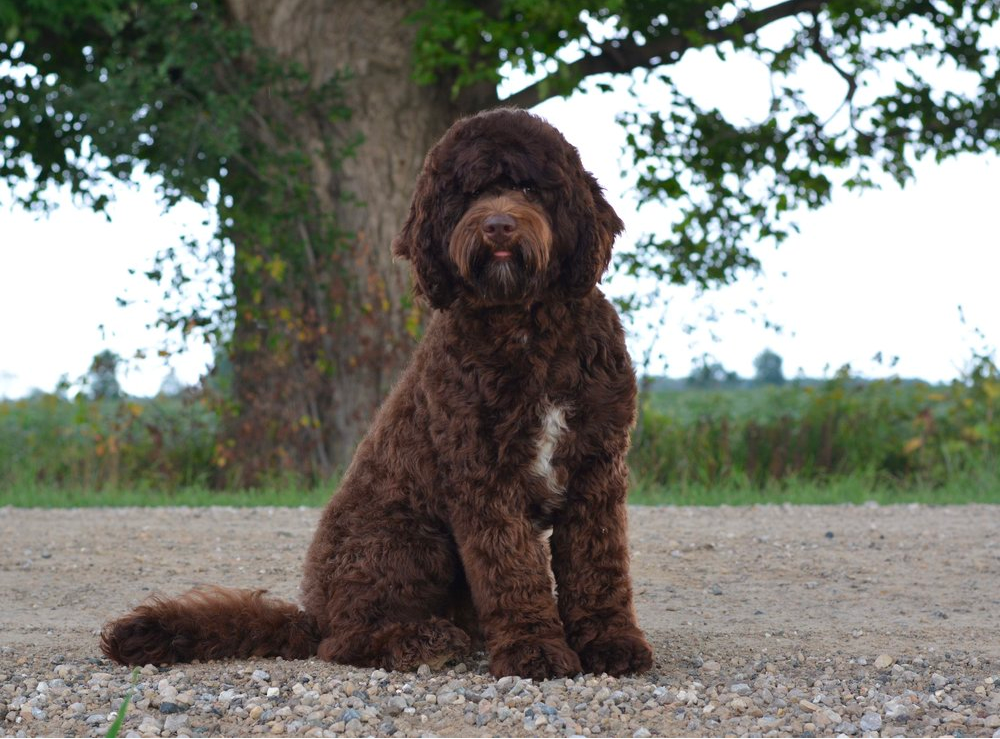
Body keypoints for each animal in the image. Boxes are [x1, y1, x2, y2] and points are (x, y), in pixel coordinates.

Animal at [99, 107, 656, 680]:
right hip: (406, 539)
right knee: (345, 640)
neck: (525, 326)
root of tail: (314, 614)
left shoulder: (597, 468)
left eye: (528, 187)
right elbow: (512, 572)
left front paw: (610, 643)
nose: (497, 224)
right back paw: (421, 640)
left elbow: (598, 568)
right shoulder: (485, 477)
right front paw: (534, 649)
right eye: (467, 195)